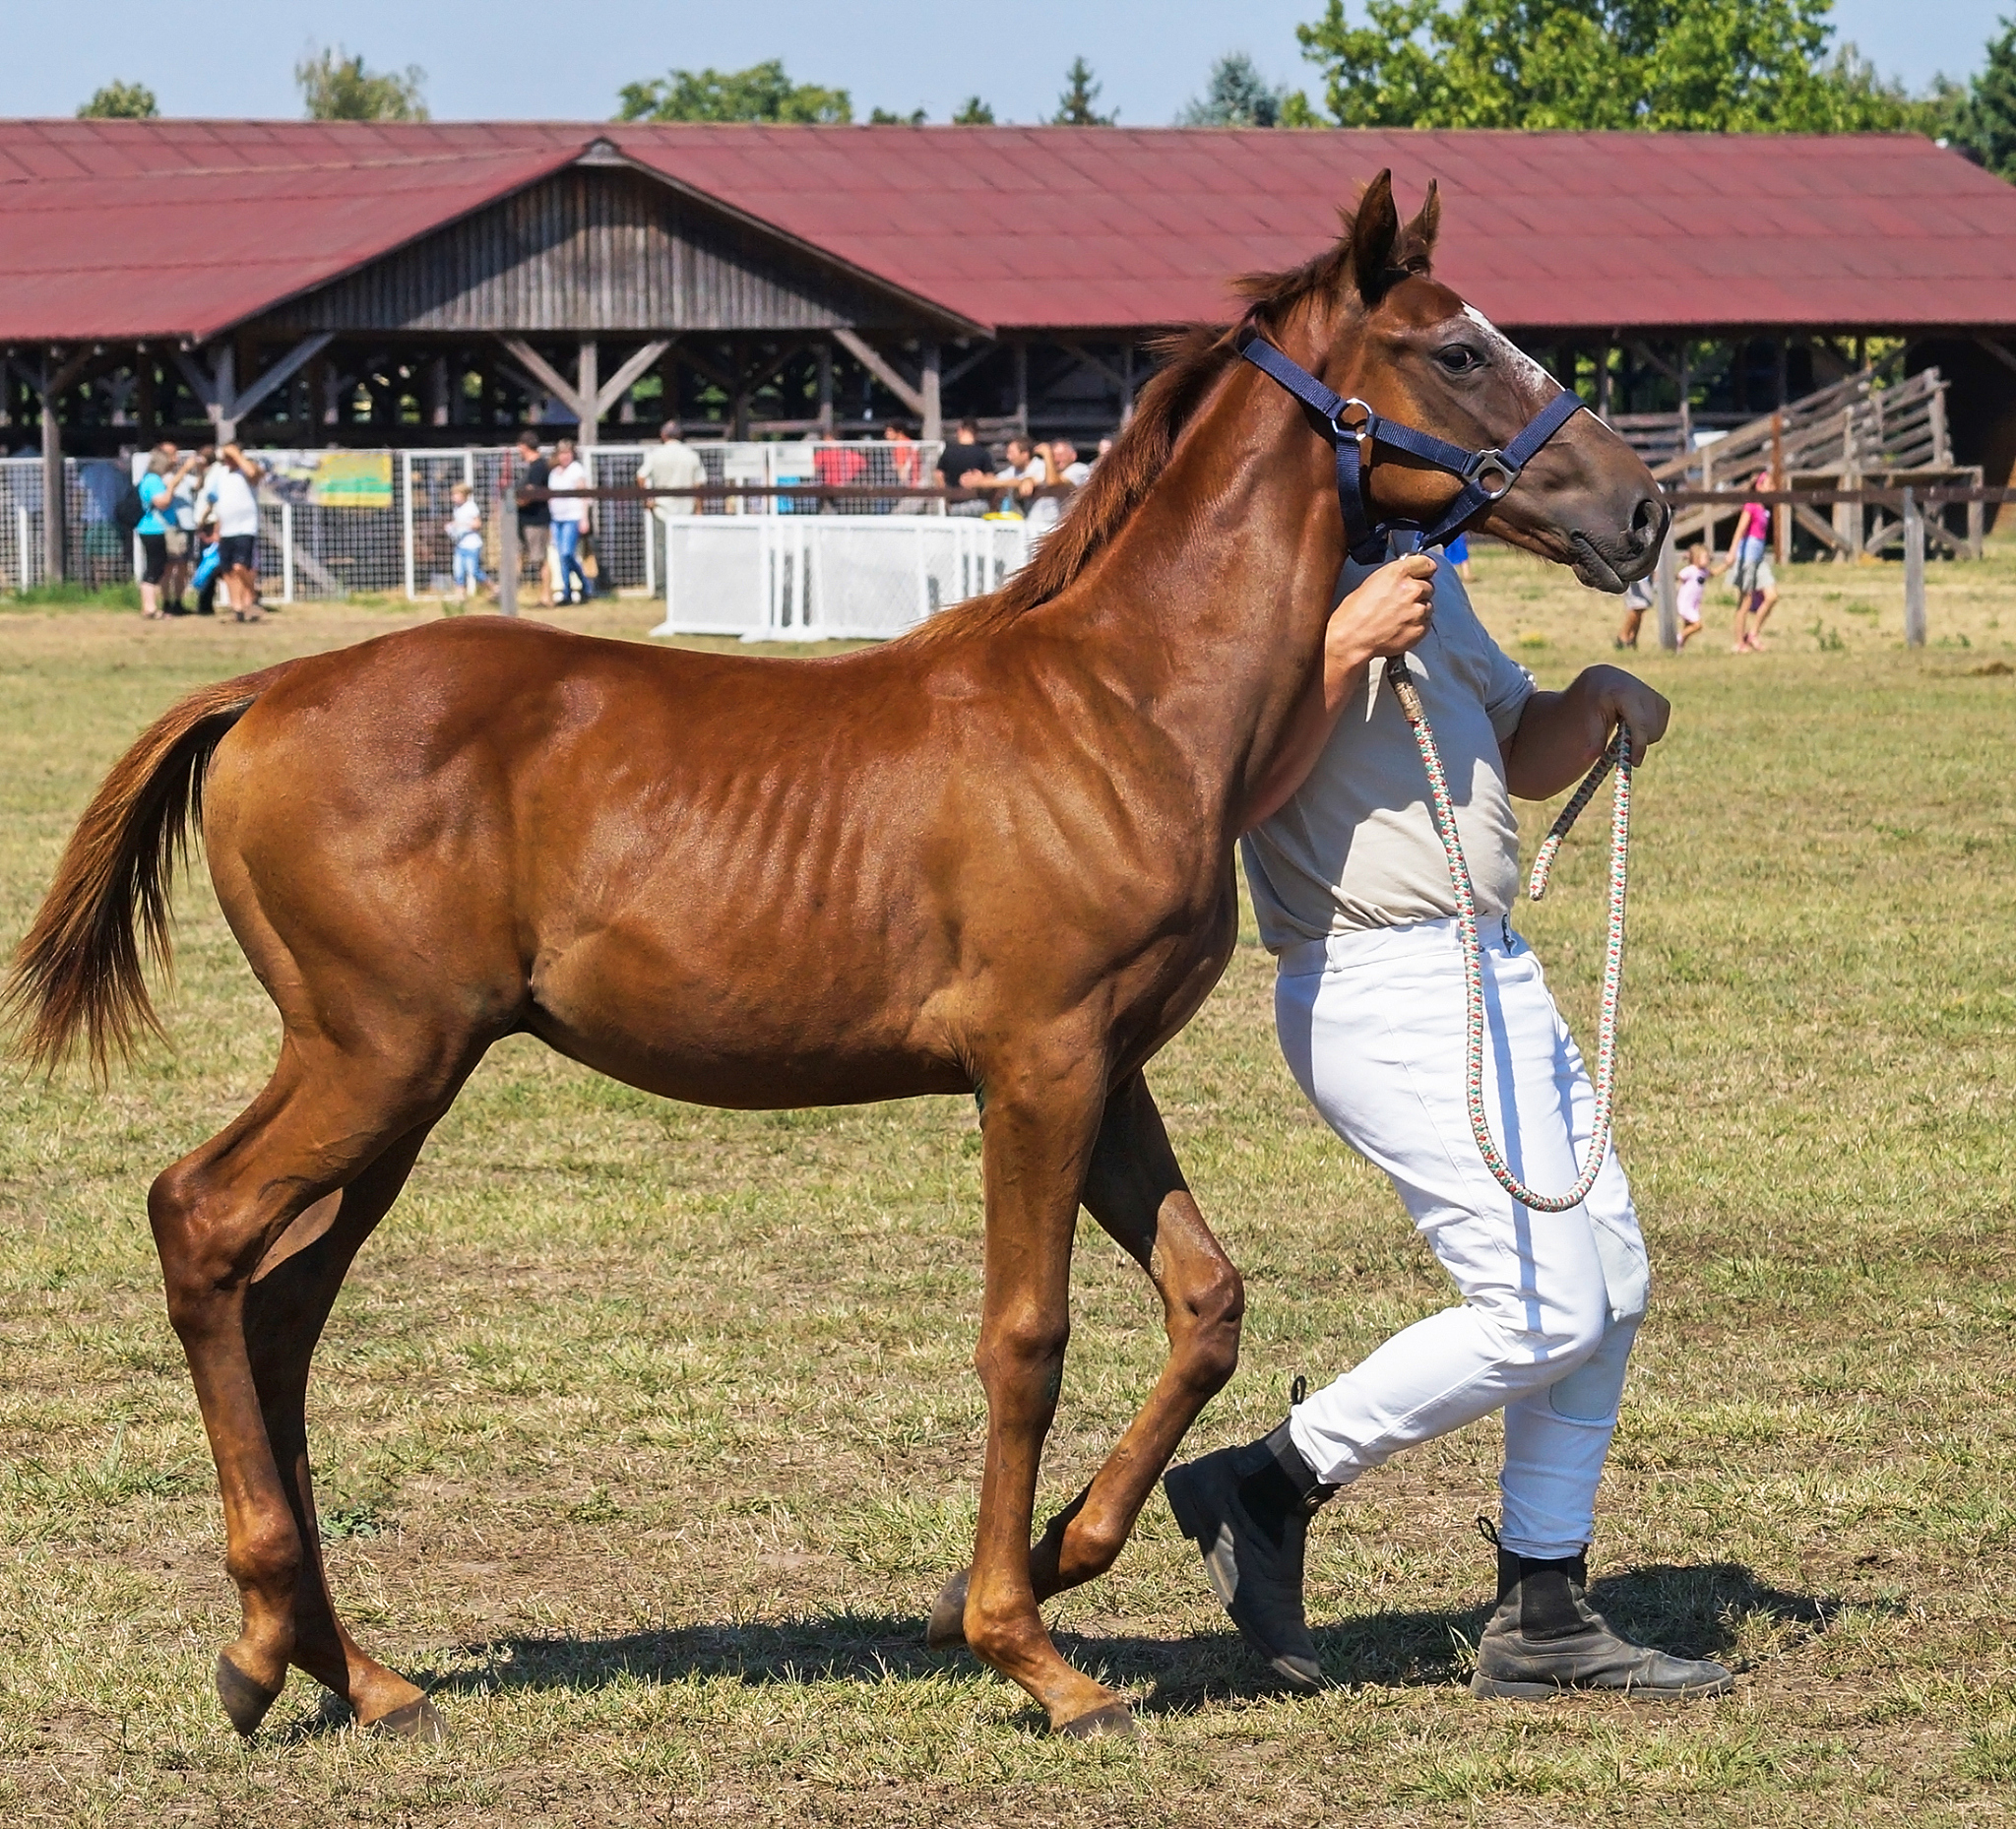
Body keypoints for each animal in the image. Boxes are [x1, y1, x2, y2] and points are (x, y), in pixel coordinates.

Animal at [6, 173, 1664, 1741]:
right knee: (202, 1223)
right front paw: (1032, 1651)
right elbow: (1025, 1335)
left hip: (399, 1089)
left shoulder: (1103, 1067)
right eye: (1458, 348)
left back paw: (349, 1670)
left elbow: (1205, 1303)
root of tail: (265, 690)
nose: (1644, 509)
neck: (1126, 703)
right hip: (374, 1057)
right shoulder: (1037, 1066)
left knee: (283, 1310)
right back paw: (259, 1644)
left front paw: (1050, 1559)